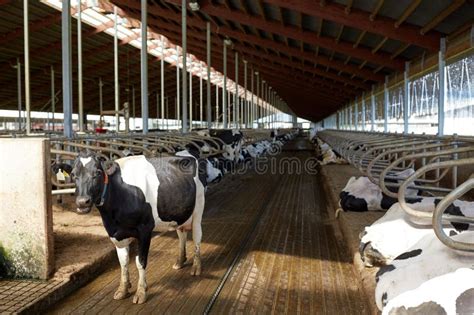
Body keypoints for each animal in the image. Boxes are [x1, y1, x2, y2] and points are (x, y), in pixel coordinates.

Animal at [71, 152, 206, 304]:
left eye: (98, 173)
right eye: (73, 174)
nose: (82, 202)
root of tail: (186, 154)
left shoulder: (145, 229)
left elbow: (140, 262)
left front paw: (141, 292)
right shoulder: (117, 234)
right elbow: (123, 263)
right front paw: (123, 289)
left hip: (198, 211)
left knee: (197, 238)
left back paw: (196, 267)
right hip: (179, 215)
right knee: (181, 234)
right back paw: (180, 261)